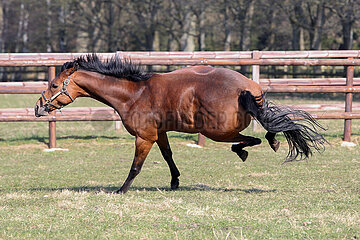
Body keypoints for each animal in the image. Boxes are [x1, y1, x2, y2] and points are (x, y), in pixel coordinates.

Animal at [34, 54, 326, 193]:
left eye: (54, 85)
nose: (38, 107)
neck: (134, 93)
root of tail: (247, 87)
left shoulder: (144, 137)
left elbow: (135, 167)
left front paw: (120, 190)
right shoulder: (160, 132)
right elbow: (168, 155)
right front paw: (175, 181)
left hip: (216, 131)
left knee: (250, 139)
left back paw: (255, 147)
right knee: (257, 136)